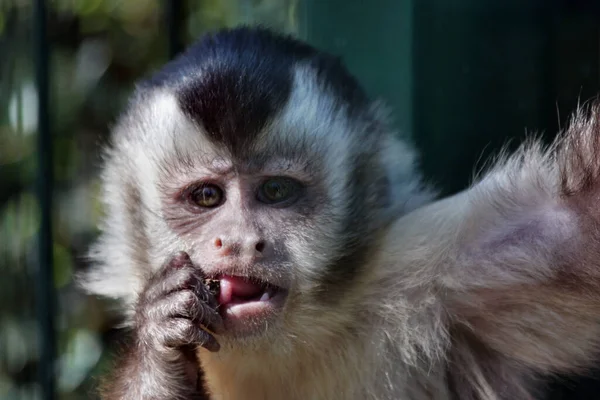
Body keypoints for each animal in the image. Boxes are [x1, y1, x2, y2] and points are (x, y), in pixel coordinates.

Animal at [81, 26, 600, 398]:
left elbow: (578, 224)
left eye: (275, 191)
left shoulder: (444, 276)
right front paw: (159, 344)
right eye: (207, 197)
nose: (240, 241)